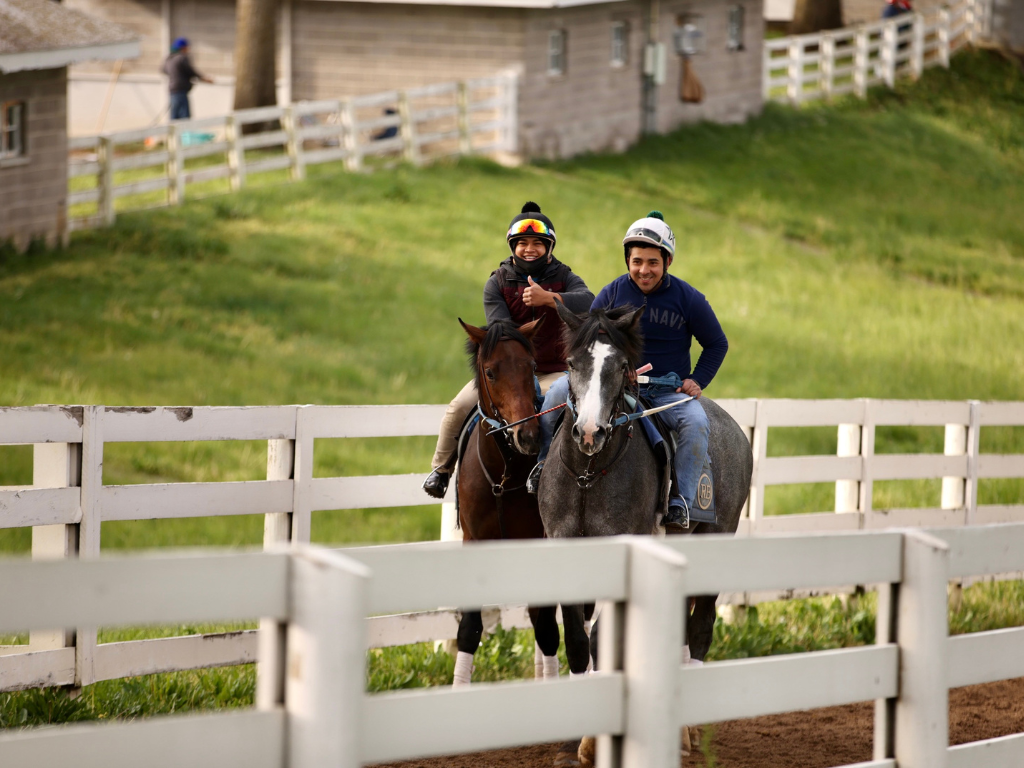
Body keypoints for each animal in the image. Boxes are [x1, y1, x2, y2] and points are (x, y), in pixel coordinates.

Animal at [450, 315, 561, 688]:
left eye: (531, 367)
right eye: (490, 371)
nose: (527, 436)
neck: (505, 473)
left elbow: (547, 630)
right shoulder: (473, 541)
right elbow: (470, 630)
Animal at [536, 305, 753, 765]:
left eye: (621, 366)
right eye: (571, 364)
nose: (589, 432)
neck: (588, 473)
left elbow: (601, 636)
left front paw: (593, 742)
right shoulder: (565, 548)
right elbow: (577, 639)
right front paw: (572, 741)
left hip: (716, 541)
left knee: (701, 627)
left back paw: (687, 731)